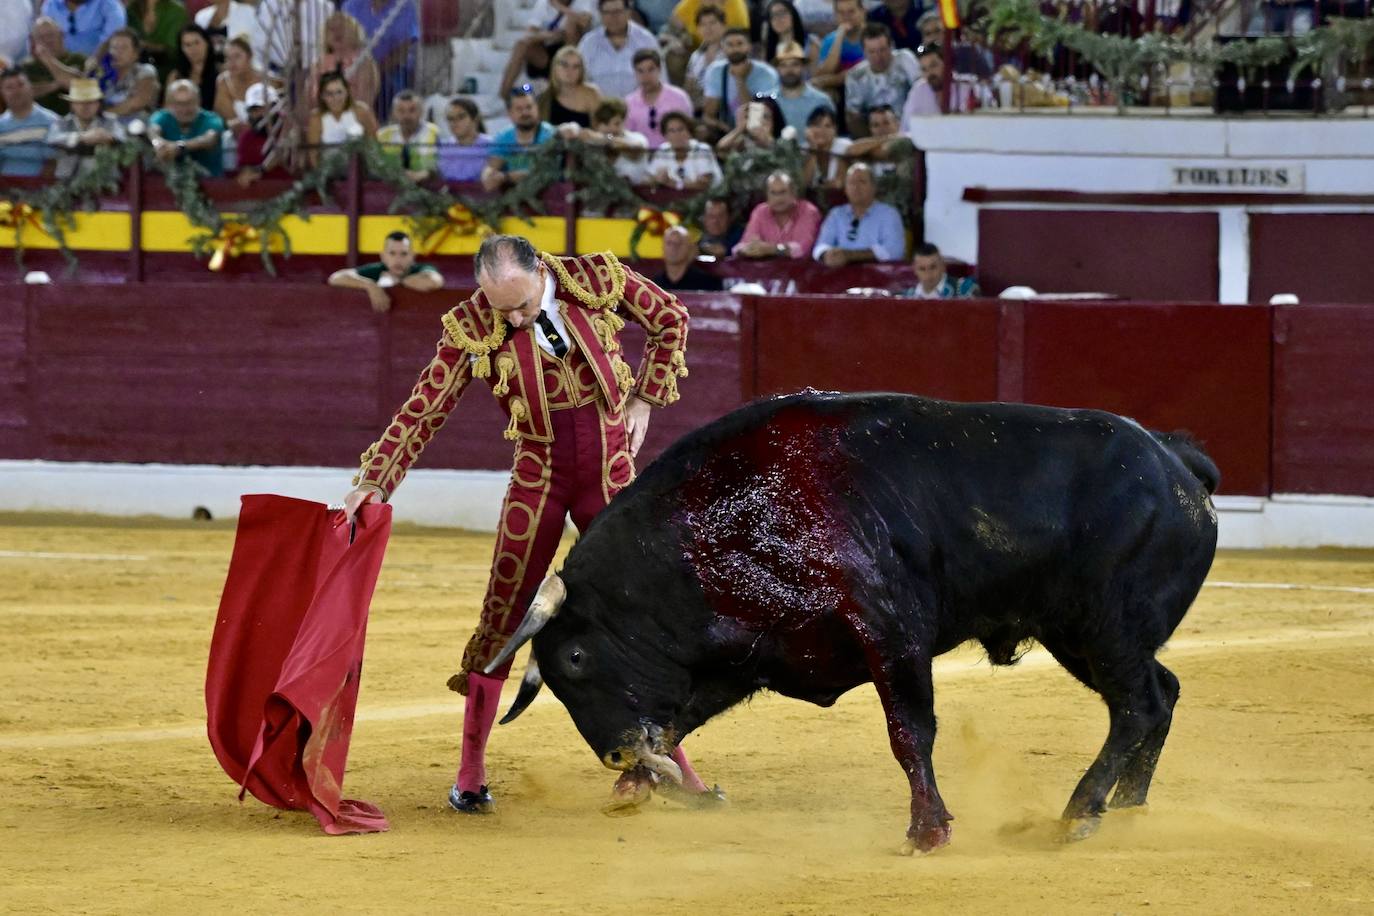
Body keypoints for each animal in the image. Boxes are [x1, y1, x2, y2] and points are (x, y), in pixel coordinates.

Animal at [489, 392, 1220, 851]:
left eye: (575, 658)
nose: (613, 750)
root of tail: (1177, 460)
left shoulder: (893, 632)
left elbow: (910, 733)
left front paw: (928, 832)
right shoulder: (746, 655)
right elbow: (680, 721)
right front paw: (644, 787)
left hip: (1107, 627)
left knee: (1138, 705)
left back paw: (1078, 815)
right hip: (1077, 637)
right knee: (1163, 694)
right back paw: (1125, 810)